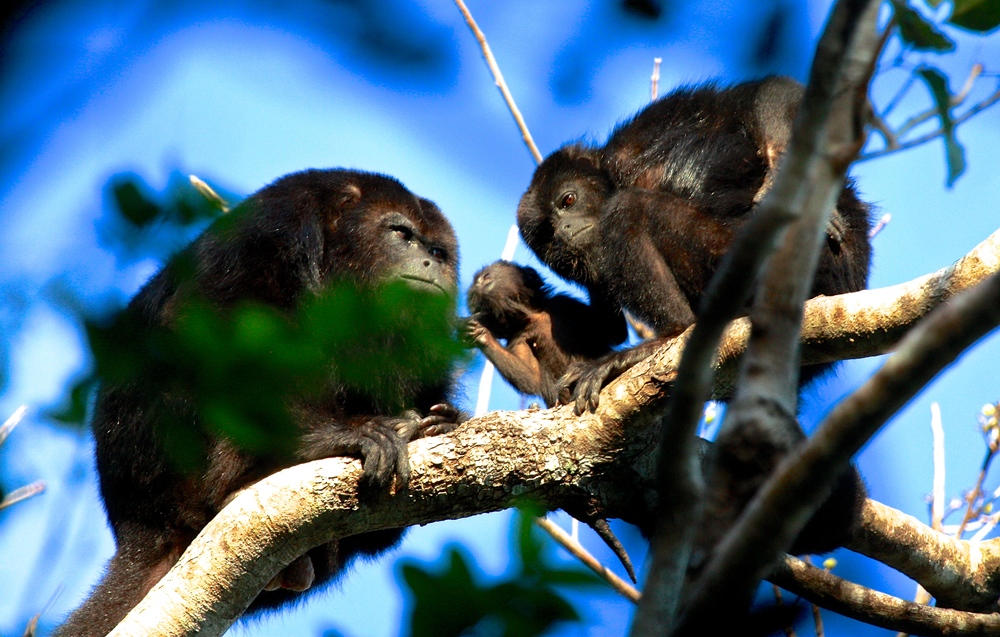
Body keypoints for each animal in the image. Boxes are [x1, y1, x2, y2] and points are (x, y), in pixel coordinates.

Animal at [54, 168, 460, 636]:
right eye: (401, 233)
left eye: (439, 251)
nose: (431, 264)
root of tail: (139, 525)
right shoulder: (274, 229)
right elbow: (227, 323)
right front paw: (335, 436)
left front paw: (443, 421)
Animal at [516, 76, 868, 412]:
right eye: (547, 234)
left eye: (568, 200)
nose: (564, 230)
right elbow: (607, 326)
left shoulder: (635, 141)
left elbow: (762, 94)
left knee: (626, 211)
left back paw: (668, 335)